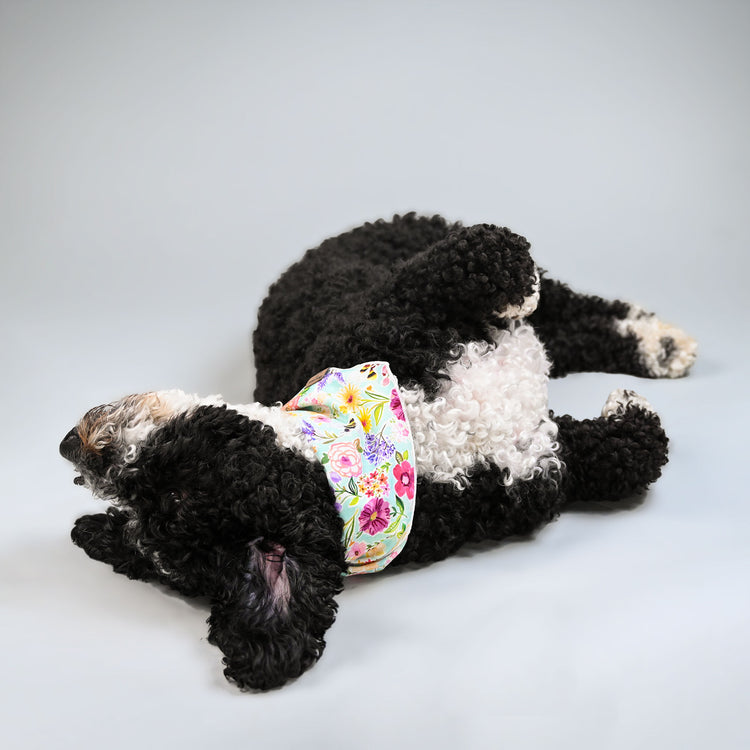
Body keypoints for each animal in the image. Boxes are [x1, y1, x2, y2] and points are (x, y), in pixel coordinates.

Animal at [60, 214, 700, 692]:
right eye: (135, 517)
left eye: (170, 479)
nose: (74, 447)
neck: (394, 446)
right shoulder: (537, 464)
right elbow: (634, 450)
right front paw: (629, 410)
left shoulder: (403, 308)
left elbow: (486, 255)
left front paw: (518, 297)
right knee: (571, 329)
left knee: (559, 301)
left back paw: (657, 341)